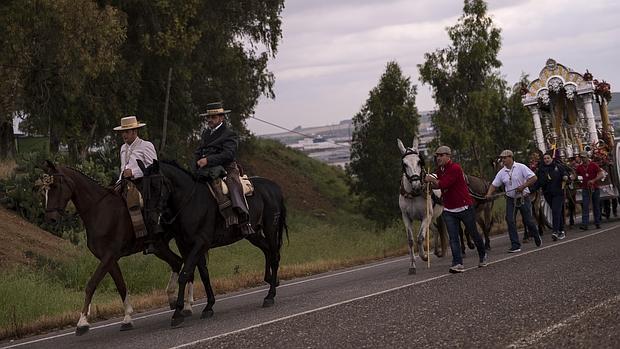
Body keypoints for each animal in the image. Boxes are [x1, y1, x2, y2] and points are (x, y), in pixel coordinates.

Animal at [38, 160, 201, 334]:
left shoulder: (109, 255)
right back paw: (172, 298)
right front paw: (127, 318)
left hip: (179, 241)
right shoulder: (109, 259)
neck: (100, 210)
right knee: (177, 262)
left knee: (188, 264)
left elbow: (91, 284)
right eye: (45, 189)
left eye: (55, 187)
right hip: (159, 247)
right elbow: (121, 285)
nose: (51, 219)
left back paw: (188, 305)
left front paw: (82, 322)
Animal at [138, 159, 288, 328]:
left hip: (270, 228)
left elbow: (185, 274)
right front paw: (208, 306)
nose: (150, 219)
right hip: (253, 234)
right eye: (141, 187)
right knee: (267, 250)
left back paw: (270, 296)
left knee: (274, 256)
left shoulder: (200, 243)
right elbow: (203, 274)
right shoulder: (186, 246)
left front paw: (177, 313)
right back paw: (271, 280)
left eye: (156, 186)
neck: (190, 202)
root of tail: (274, 187)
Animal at [400, 137, 448, 274]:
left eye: (419, 161)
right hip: (431, 219)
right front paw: (412, 266)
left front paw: (425, 256)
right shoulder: (406, 217)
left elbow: (420, 238)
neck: (413, 195)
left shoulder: (426, 216)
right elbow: (410, 240)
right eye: (404, 164)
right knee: (436, 230)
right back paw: (437, 251)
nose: (416, 184)